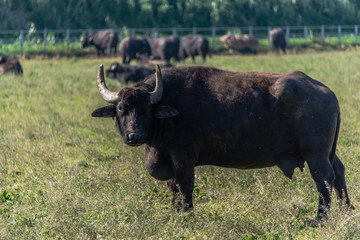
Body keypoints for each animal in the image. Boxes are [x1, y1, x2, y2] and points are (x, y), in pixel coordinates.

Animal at [92, 63, 352, 219]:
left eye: (146, 109)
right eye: (122, 109)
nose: (134, 136)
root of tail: (327, 92)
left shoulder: (183, 159)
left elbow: (185, 188)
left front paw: (187, 218)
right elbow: (173, 188)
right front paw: (174, 216)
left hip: (315, 154)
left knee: (324, 180)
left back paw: (320, 218)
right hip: (327, 153)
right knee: (339, 173)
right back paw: (347, 211)